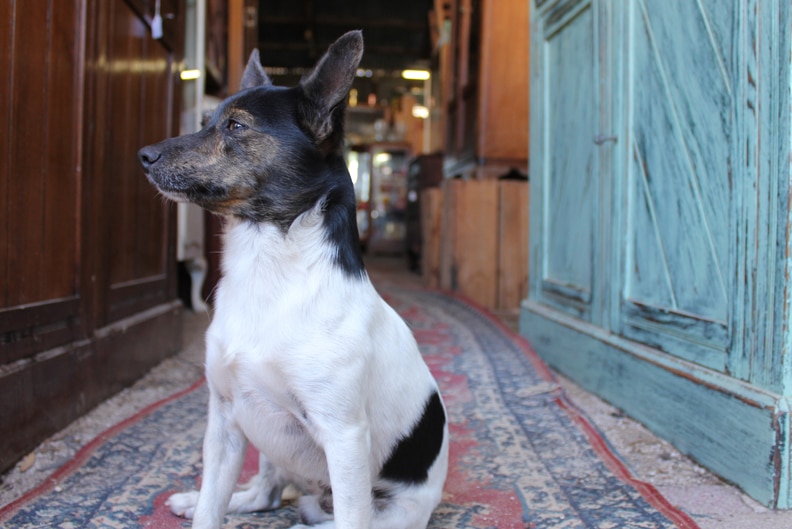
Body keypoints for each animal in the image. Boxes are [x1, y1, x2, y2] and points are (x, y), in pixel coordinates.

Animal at [135, 32, 446, 528]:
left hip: (393, 511)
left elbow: (352, 515)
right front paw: (201, 503)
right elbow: (210, 507)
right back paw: (199, 499)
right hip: (266, 445)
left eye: (236, 127)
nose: (143, 156)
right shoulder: (224, 419)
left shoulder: (343, 436)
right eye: (205, 122)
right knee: (262, 493)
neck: (268, 266)